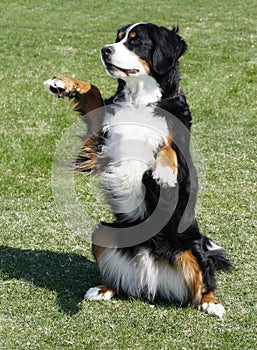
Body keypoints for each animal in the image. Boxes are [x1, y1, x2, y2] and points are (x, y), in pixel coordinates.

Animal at [44, 21, 230, 318]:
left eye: (135, 41)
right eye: (117, 38)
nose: (105, 50)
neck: (140, 101)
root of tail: (151, 277)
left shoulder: (182, 162)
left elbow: (168, 148)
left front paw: (164, 170)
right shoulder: (102, 142)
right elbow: (93, 91)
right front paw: (65, 84)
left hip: (193, 247)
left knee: (204, 284)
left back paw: (211, 303)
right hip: (103, 232)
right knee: (119, 280)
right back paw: (103, 289)